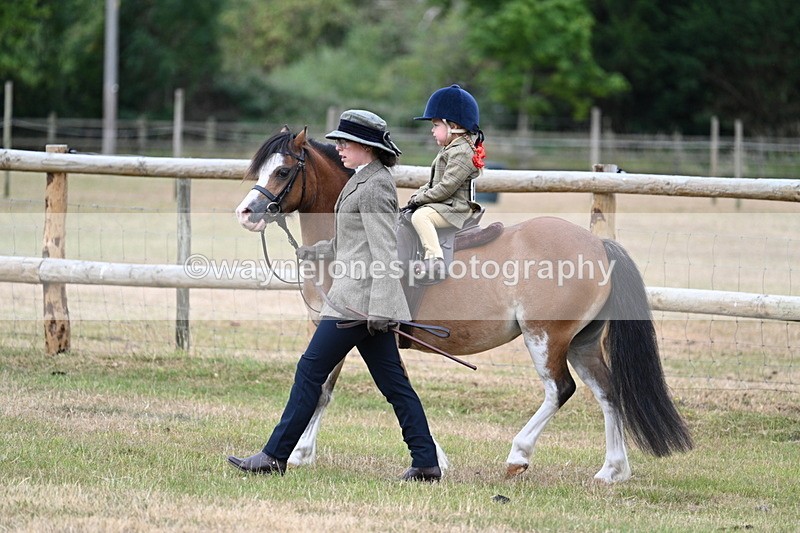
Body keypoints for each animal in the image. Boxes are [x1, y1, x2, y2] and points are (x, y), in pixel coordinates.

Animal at [234, 127, 693, 483]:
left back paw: (518, 455)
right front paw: (298, 453)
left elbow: (360, 388)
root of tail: (598, 244)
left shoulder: (358, 332)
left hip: (546, 337)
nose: (246, 212)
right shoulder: (341, 331)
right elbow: (331, 388)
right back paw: (612, 471)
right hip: (582, 343)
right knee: (608, 393)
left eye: (282, 170)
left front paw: (431, 459)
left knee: (559, 390)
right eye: (260, 168)